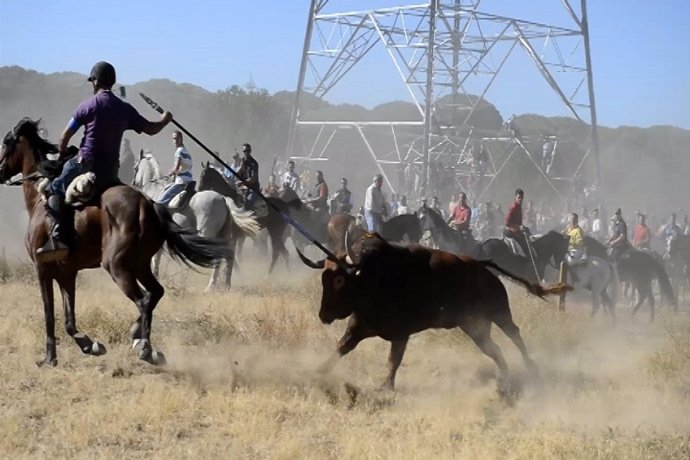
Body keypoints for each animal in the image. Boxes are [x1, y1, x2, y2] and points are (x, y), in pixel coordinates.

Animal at [0, 117, 231, 366]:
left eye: (6, 142)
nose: (0, 171)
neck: (39, 200)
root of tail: (147, 204)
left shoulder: (43, 269)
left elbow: (49, 314)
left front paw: (50, 357)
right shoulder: (67, 273)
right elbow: (69, 320)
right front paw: (88, 344)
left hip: (118, 266)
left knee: (143, 299)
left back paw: (145, 346)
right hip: (139, 264)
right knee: (155, 293)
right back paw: (138, 334)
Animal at [132, 151, 258, 290]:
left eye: (135, 168)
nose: (134, 183)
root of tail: (223, 199)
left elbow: (154, 257)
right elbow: (157, 258)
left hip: (208, 234)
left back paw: (211, 286)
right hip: (223, 234)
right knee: (228, 254)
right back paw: (225, 285)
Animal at [298, 234, 568, 392]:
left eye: (339, 280)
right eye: (324, 278)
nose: (324, 315)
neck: (373, 276)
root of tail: (483, 266)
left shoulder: (401, 334)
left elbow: (393, 360)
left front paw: (386, 387)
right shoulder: (359, 325)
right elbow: (342, 347)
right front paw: (320, 371)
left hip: (500, 314)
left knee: (515, 335)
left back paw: (531, 368)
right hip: (475, 327)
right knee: (495, 349)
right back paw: (505, 378)